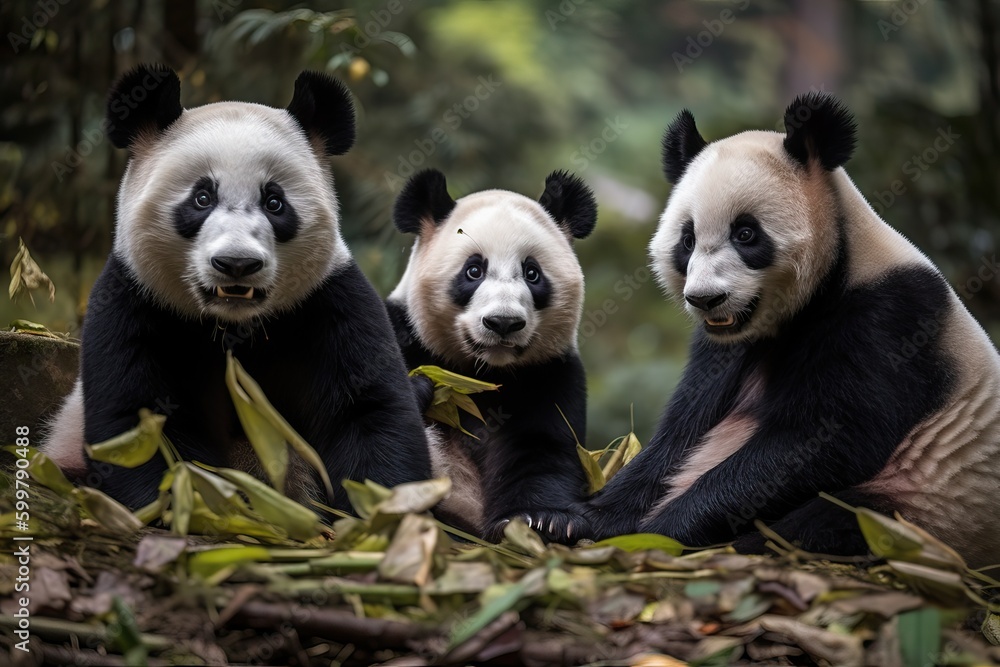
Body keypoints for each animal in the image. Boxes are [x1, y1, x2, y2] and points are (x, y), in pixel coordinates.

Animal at [42, 64, 431, 512]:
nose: (237, 264)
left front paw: (378, 513)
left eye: (275, 202)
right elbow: (140, 423)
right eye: (202, 198)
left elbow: (368, 410)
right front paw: (187, 504)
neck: (235, 326)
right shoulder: (137, 300)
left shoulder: (329, 301)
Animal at [386, 168, 597, 542]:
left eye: (532, 273)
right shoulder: (401, 333)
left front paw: (545, 519)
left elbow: (540, 447)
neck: (482, 373)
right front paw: (419, 387)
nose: (503, 322)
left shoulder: (548, 372)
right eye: (474, 270)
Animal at [580, 93, 1000, 567]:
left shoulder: (889, 320)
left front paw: (659, 532)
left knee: (838, 521)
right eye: (686, 240)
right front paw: (581, 520)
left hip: (927, 502)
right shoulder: (726, 350)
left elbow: (824, 438)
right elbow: (680, 432)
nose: (705, 299)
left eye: (746, 234)